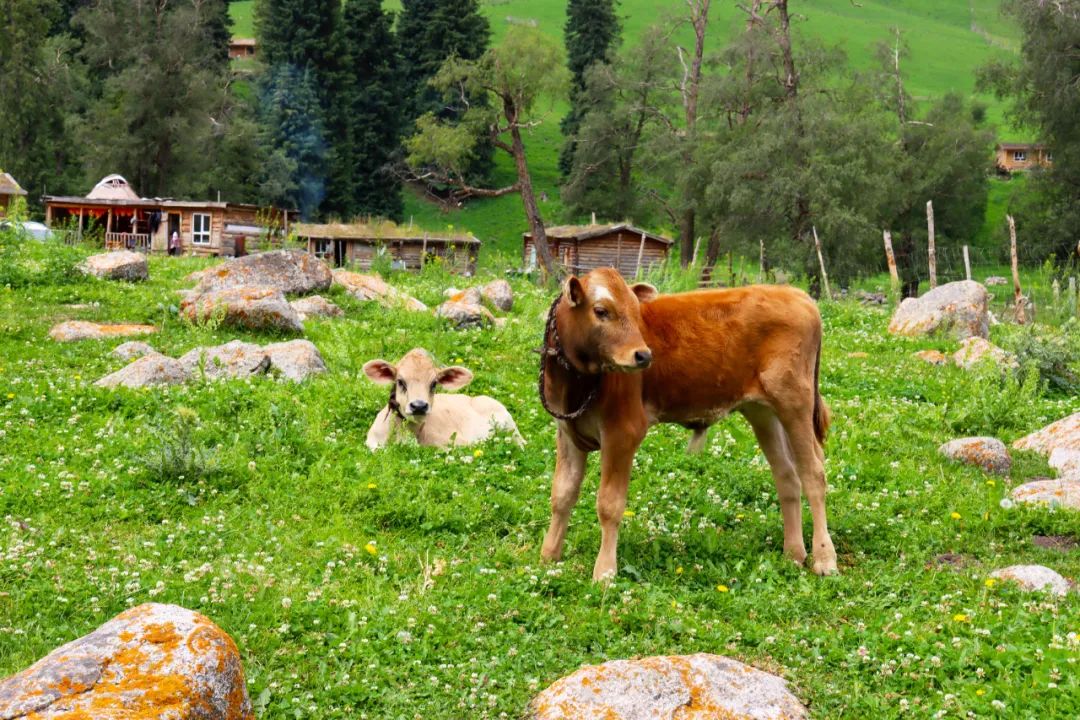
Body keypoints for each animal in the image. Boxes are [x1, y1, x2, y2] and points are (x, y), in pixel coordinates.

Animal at [540, 267, 833, 582]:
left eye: (636, 311)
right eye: (601, 311)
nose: (643, 355)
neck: (574, 385)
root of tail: (796, 294)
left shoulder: (623, 432)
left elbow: (609, 505)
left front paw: (605, 572)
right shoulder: (567, 432)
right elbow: (562, 494)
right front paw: (548, 556)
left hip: (796, 403)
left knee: (813, 475)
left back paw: (825, 558)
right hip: (763, 412)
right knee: (787, 475)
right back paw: (794, 553)